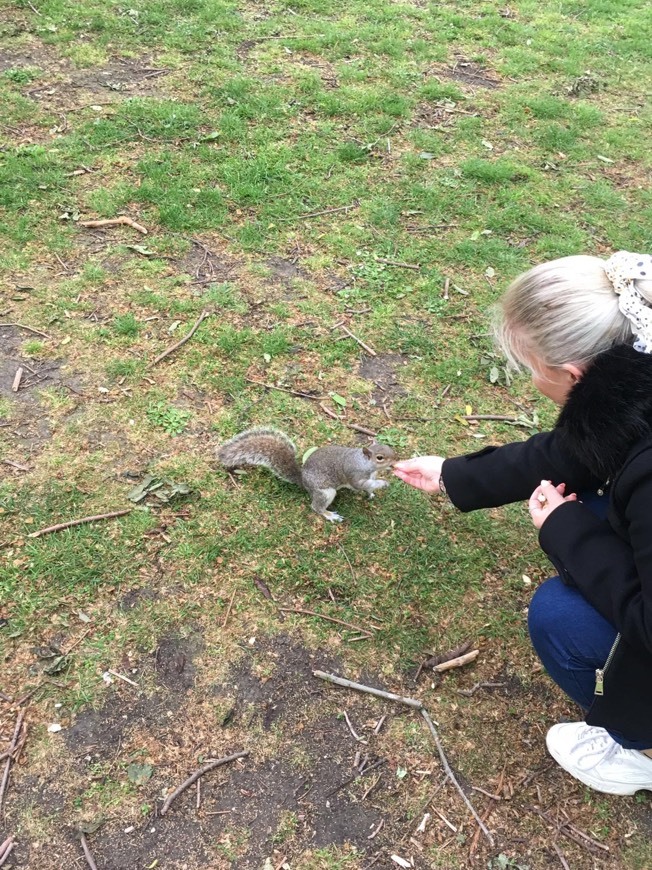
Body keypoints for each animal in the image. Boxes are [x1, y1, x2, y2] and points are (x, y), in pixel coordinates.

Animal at [218, 428, 398, 520]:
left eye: (388, 447)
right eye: (380, 458)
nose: (396, 458)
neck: (366, 464)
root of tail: (303, 480)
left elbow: (369, 486)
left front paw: (372, 492)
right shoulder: (355, 474)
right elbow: (360, 485)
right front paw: (383, 483)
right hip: (326, 492)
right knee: (316, 507)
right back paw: (329, 514)